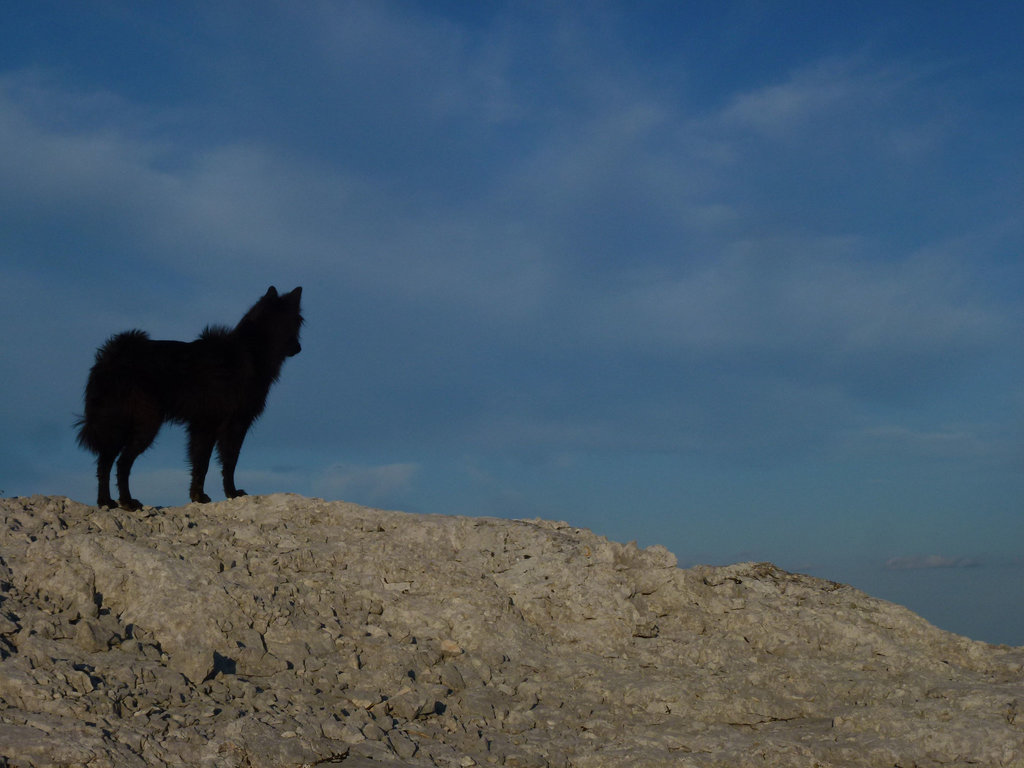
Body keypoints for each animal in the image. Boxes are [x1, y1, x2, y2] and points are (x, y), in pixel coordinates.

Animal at [76, 286, 301, 507]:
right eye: (297, 324)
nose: (299, 348)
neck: (252, 349)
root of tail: (111, 356)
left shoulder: (204, 425)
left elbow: (203, 463)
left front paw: (198, 495)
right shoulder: (228, 423)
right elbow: (224, 462)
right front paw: (228, 493)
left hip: (118, 426)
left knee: (104, 463)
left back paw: (106, 502)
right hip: (145, 423)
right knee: (122, 463)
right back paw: (127, 501)